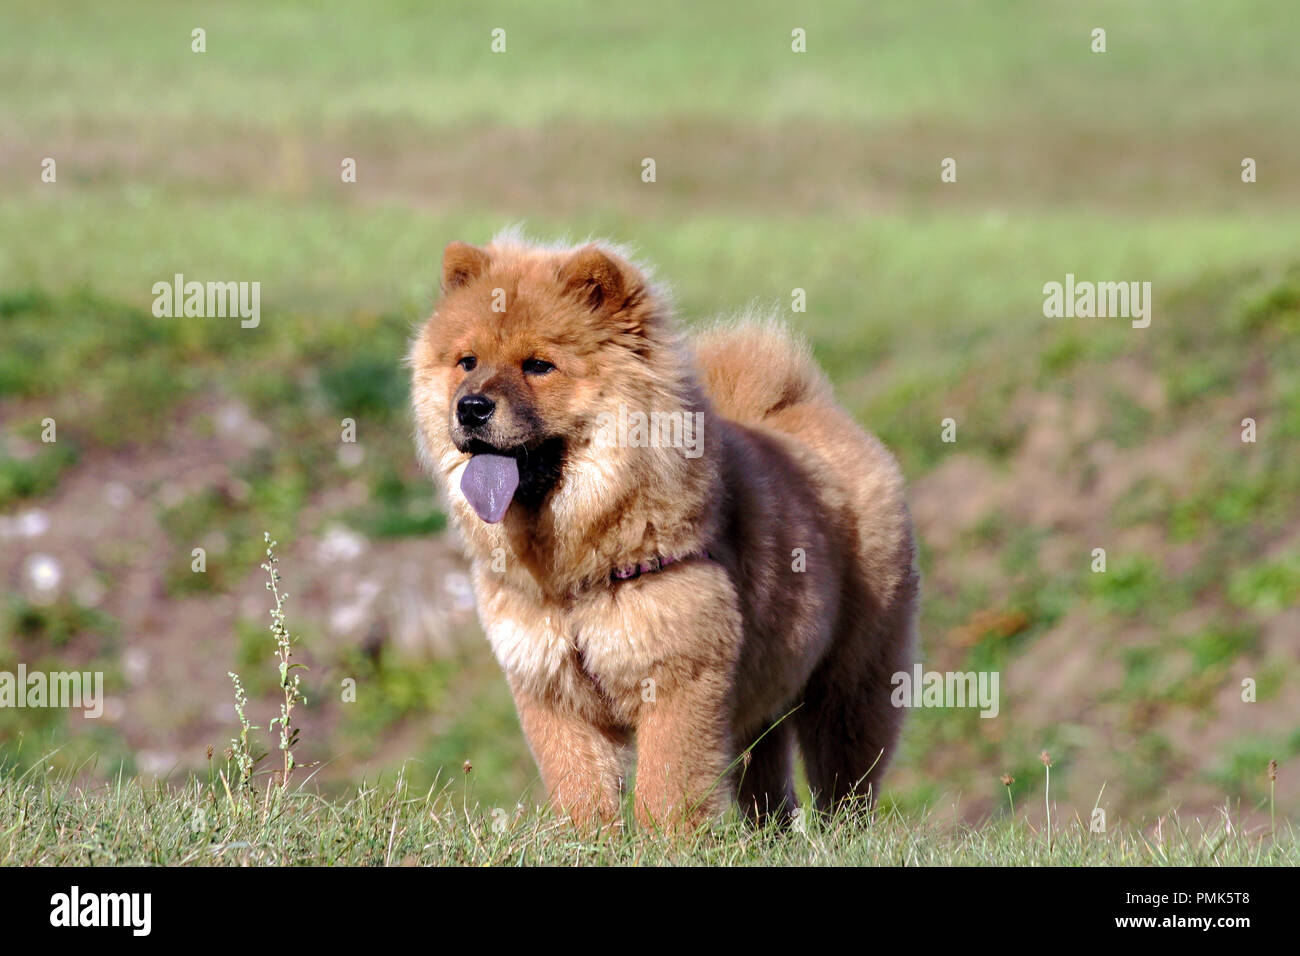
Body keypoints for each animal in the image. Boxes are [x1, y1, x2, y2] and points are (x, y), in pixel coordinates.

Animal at [410, 231, 920, 832]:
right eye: (466, 362)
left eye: (539, 365)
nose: (470, 406)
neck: (572, 566)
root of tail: (814, 412)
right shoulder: (552, 692)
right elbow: (580, 788)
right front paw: (589, 842)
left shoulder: (677, 679)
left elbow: (665, 788)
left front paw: (663, 842)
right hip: (763, 699)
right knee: (768, 783)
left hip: (850, 681)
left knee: (845, 782)